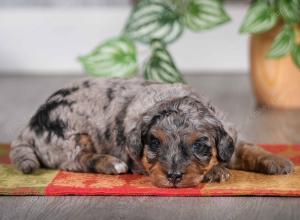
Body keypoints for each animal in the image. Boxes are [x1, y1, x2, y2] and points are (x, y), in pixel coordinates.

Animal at [10, 77, 294, 187]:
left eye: (199, 145)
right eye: (155, 143)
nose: (174, 177)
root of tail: (29, 126)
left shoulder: (231, 139)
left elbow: (249, 148)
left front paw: (278, 162)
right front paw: (215, 172)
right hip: (70, 136)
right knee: (77, 160)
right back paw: (110, 163)